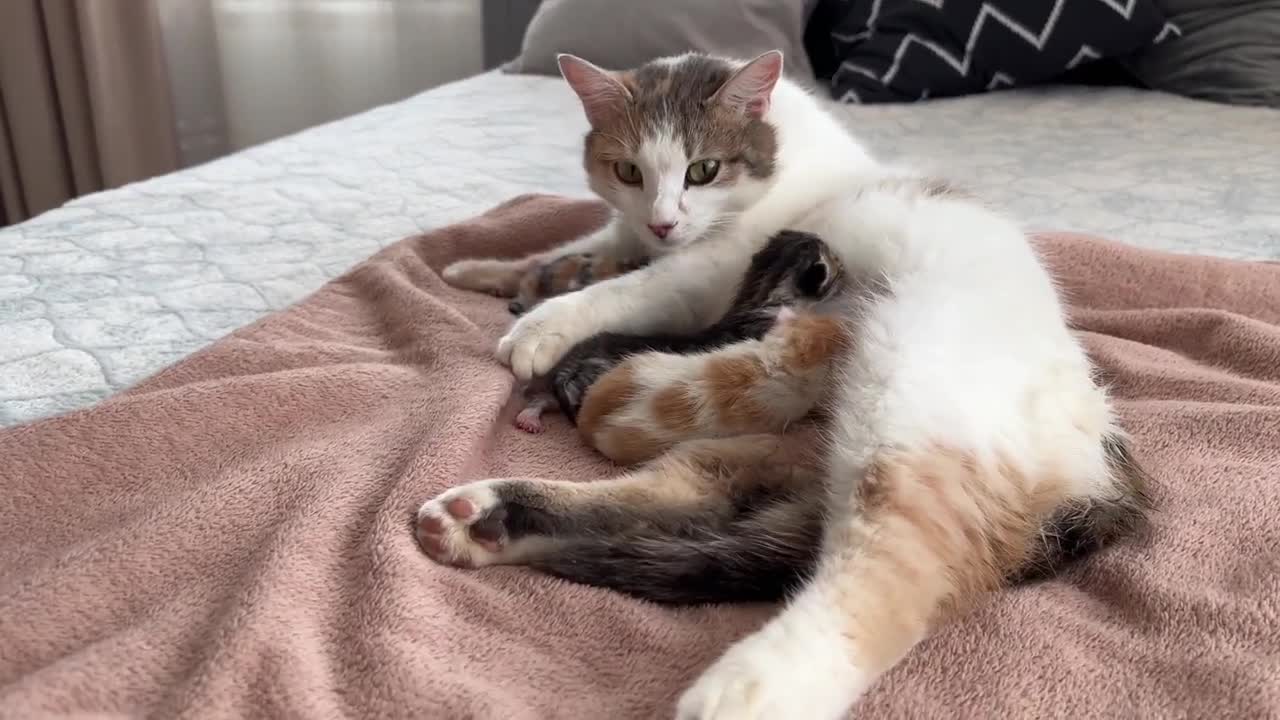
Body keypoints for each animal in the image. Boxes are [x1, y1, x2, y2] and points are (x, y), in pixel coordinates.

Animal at [419, 51, 1152, 717]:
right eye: (628, 170)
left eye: (703, 170)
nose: (664, 220)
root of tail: (1102, 442)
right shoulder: (624, 230)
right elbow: (570, 251)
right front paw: (479, 271)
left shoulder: (706, 271)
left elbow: (624, 288)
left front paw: (541, 325)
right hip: (751, 456)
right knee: (672, 503)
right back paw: (485, 519)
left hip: (908, 410)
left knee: (890, 573)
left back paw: (747, 690)